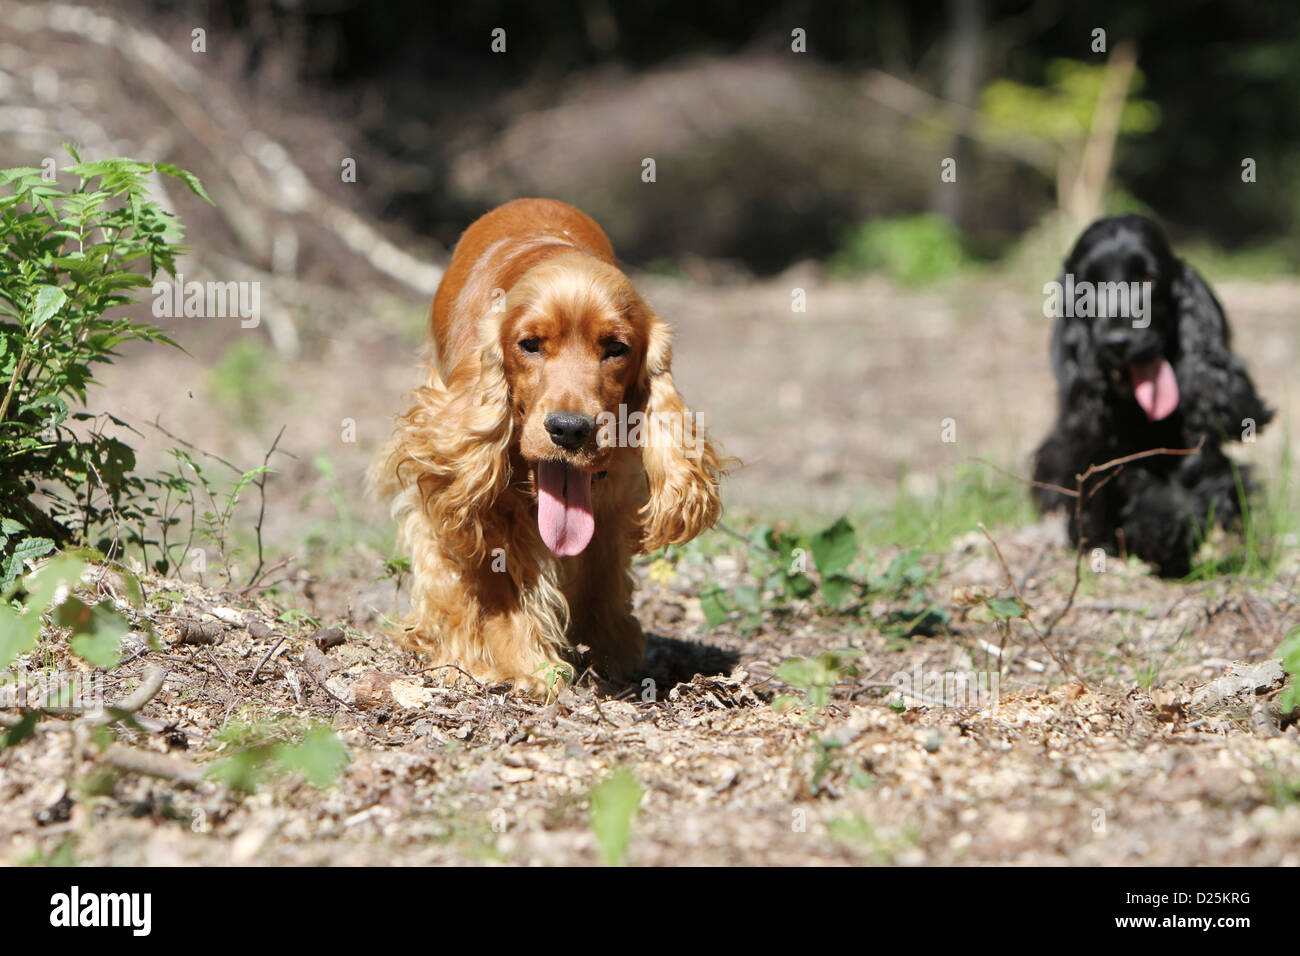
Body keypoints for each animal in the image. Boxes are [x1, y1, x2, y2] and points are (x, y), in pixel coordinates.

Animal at [371, 200, 728, 697]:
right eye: (529, 345)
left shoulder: (613, 485)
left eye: (615, 347)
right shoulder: (462, 470)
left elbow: (600, 566)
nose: (569, 430)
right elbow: (487, 572)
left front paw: (610, 648)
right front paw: (512, 662)